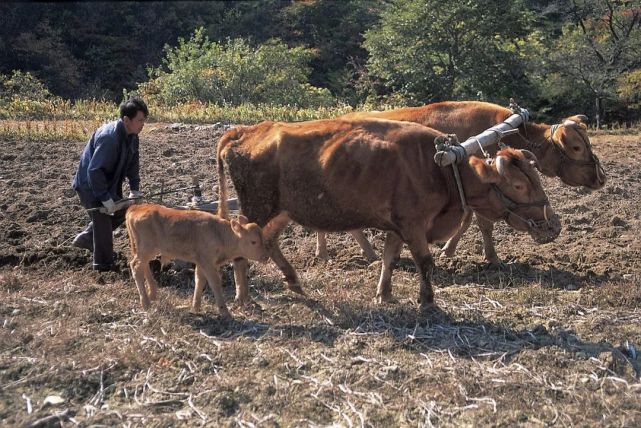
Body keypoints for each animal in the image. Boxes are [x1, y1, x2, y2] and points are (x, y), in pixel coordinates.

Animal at [125, 202, 268, 316]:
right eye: (253, 241)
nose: (265, 256)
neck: (219, 234)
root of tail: (136, 207)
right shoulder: (208, 262)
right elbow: (215, 283)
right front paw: (224, 312)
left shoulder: (201, 262)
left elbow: (199, 281)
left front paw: (195, 307)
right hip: (147, 249)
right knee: (136, 266)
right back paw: (146, 304)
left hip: (145, 250)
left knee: (144, 266)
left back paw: (153, 295)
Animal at [216, 118, 560, 308]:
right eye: (518, 185)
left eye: (536, 177)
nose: (554, 224)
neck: (442, 168)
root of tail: (248, 131)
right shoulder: (413, 225)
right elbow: (424, 262)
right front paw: (427, 302)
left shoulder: (397, 227)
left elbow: (389, 258)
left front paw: (384, 294)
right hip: (257, 209)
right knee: (242, 250)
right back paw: (244, 298)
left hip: (282, 211)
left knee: (269, 242)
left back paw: (293, 282)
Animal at [318, 101, 608, 262]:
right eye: (575, 147)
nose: (602, 178)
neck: (502, 132)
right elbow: (482, 223)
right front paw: (490, 256)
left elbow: (468, 221)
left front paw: (449, 249)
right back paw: (358, 253)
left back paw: (335, 252)